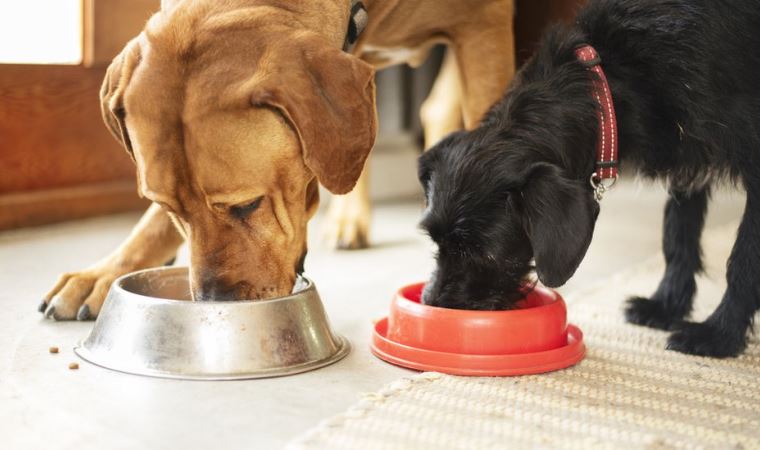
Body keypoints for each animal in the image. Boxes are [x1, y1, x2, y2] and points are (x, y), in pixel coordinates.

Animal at [418, 0, 760, 358]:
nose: (433, 303)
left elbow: (743, 258)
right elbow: (678, 232)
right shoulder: (686, 154)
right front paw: (666, 305)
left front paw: (719, 334)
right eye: (436, 241)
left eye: (484, 253)